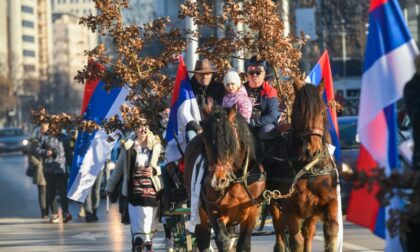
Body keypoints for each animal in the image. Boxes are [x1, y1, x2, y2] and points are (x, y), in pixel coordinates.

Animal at [184, 106, 266, 252]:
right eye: (206, 142)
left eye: (230, 142)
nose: (217, 180)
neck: (236, 181)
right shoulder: (214, 211)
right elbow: (223, 240)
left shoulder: (252, 214)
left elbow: (243, 244)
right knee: (204, 239)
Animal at [266, 84, 342, 252]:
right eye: (299, 112)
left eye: (322, 112)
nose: (313, 150)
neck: (308, 168)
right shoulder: (289, 208)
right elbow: (296, 241)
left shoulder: (327, 202)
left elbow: (331, 232)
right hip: (273, 199)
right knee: (278, 226)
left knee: (308, 231)